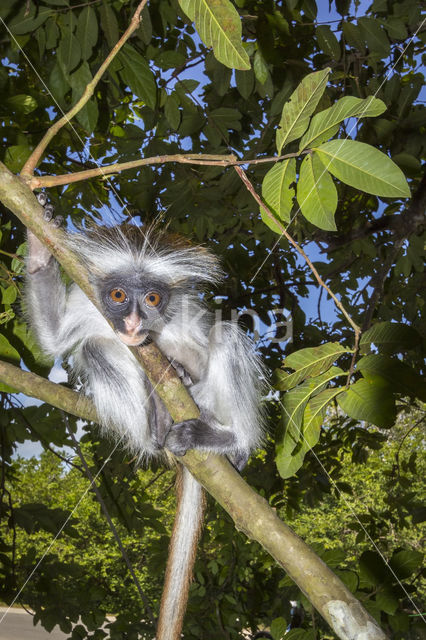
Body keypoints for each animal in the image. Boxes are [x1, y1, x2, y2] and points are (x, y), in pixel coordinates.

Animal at [25, 195, 262, 640]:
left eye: (152, 299)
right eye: (119, 295)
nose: (134, 322)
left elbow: (211, 336)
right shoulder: (90, 305)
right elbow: (55, 341)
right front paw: (38, 247)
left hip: (211, 403)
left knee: (226, 334)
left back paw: (230, 439)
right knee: (95, 348)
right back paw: (156, 424)